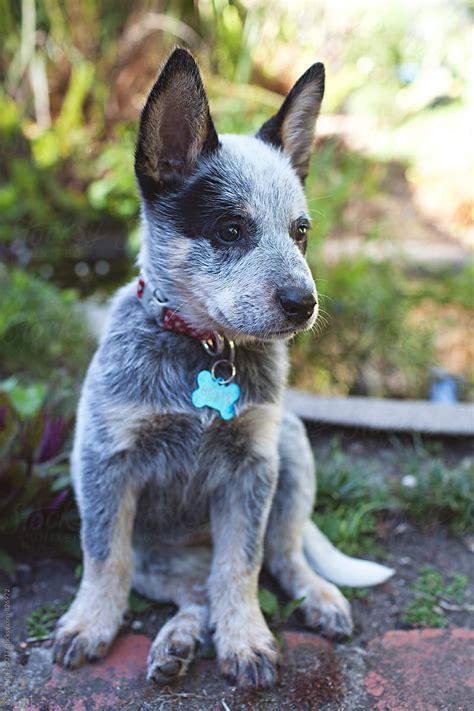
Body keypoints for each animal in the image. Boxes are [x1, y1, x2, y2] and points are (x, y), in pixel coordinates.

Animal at [53, 48, 392, 688]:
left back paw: (318, 597)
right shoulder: (106, 460)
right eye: (230, 229)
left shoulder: (252, 469)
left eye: (301, 233)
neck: (206, 352)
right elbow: (103, 555)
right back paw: (176, 642)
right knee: (193, 594)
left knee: (281, 555)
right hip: (160, 558)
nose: (304, 303)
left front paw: (248, 639)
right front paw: (89, 623)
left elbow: (243, 563)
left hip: (292, 448)